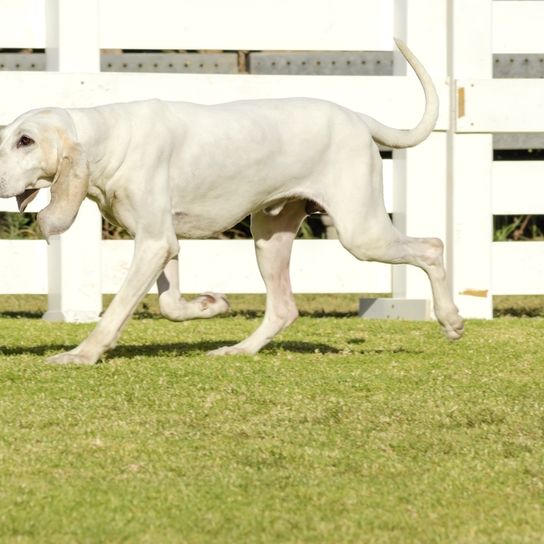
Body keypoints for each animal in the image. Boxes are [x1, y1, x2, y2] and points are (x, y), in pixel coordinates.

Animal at [0, 40, 464, 364]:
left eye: (26, 141)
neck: (108, 139)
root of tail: (358, 118)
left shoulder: (154, 243)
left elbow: (116, 311)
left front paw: (81, 354)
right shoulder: (162, 242)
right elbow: (170, 306)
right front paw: (210, 305)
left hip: (361, 234)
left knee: (432, 247)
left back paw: (451, 319)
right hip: (269, 237)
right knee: (283, 309)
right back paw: (238, 350)